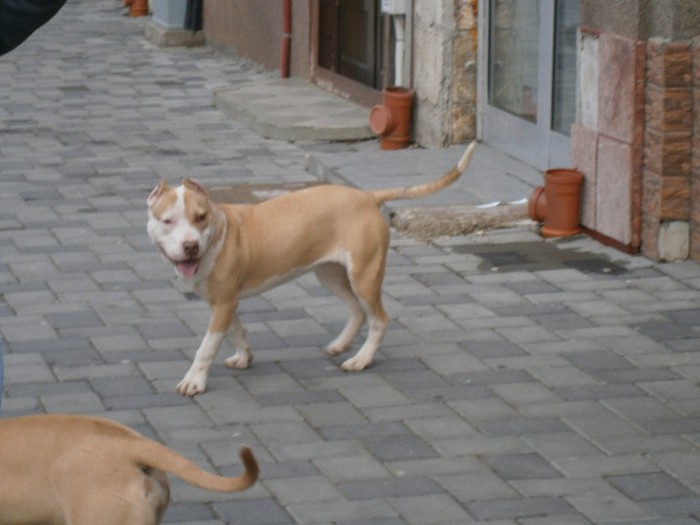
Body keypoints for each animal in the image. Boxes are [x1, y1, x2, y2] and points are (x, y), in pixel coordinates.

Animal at [148, 141, 476, 396]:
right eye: (168, 221)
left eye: (200, 217)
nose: (190, 246)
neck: (219, 231)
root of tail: (367, 196)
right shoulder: (224, 302)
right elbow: (235, 331)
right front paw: (244, 356)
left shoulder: (224, 303)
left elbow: (207, 346)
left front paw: (194, 382)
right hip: (330, 274)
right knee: (357, 311)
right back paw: (340, 346)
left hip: (364, 275)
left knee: (379, 319)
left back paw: (361, 360)